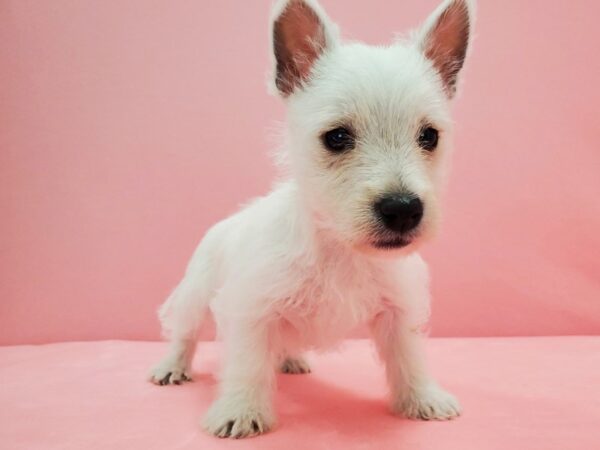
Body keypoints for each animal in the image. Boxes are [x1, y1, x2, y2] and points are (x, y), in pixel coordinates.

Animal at [149, 0, 474, 438]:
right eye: (336, 137)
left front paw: (423, 397)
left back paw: (290, 360)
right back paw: (172, 366)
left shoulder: (398, 311)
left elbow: (408, 356)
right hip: (195, 293)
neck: (338, 245)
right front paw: (240, 410)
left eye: (429, 136)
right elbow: (248, 364)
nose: (403, 208)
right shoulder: (251, 308)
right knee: (184, 332)